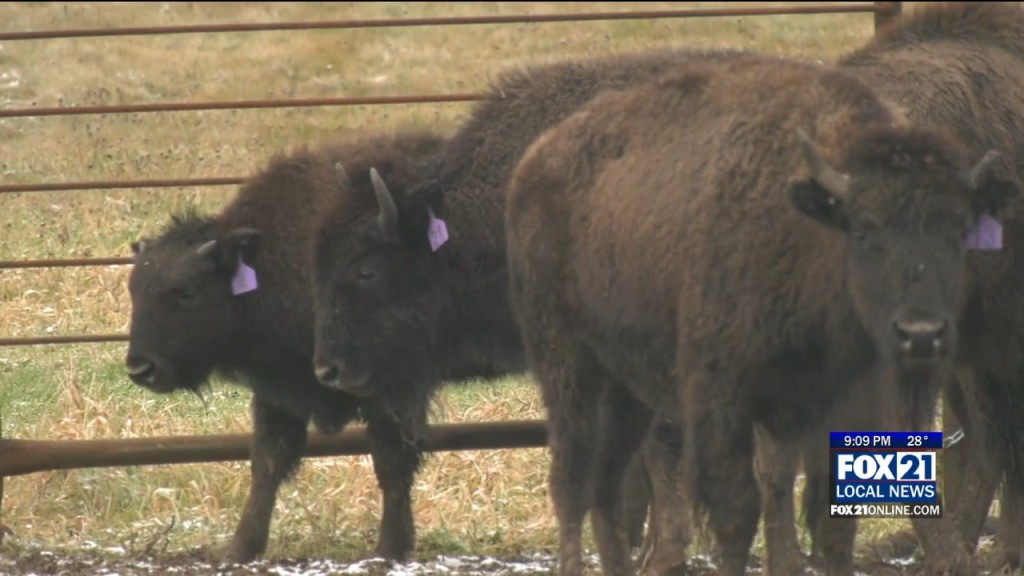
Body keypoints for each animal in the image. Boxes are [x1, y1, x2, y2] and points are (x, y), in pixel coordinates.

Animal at [124, 131, 444, 562]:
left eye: (187, 291)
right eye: (134, 289)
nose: (141, 368)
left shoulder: (384, 392)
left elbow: (391, 464)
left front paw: (390, 548)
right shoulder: (279, 394)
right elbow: (267, 463)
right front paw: (240, 549)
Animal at [505, 53, 1019, 576]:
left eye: (960, 230)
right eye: (863, 229)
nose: (921, 335)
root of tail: (534, 161)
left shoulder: (840, 404)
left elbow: (832, 521)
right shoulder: (723, 403)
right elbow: (738, 512)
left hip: (625, 390)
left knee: (606, 486)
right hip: (568, 368)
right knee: (572, 481)